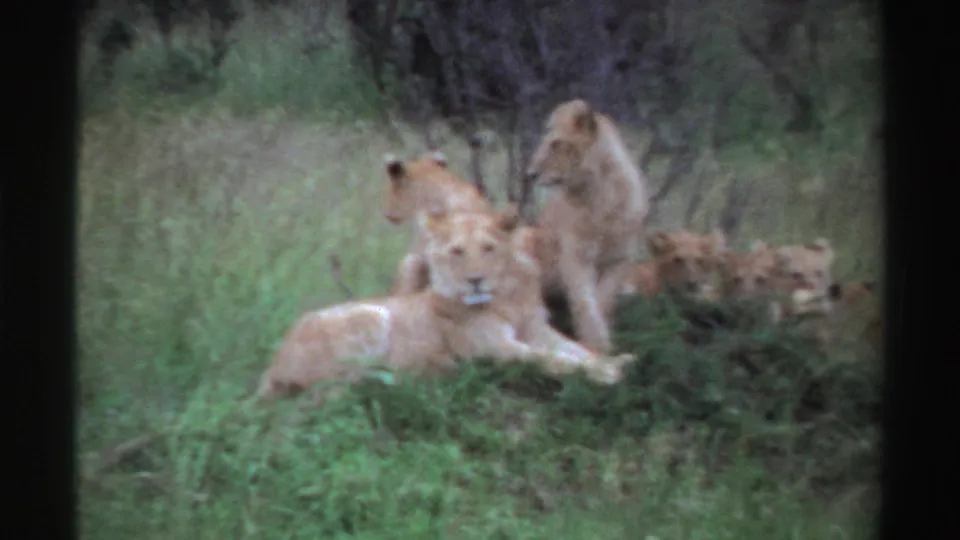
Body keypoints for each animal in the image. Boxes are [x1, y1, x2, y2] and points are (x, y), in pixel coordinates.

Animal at [257, 206, 634, 401]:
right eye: (457, 252)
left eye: (488, 248)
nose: (475, 279)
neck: (507, 296)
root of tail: (272, 365)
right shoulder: (493, 347)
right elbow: (550, 359)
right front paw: (608, 373)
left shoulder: (536, 328)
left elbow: (577, 349)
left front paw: (614, 360)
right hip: (371, 317)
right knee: (346, 381)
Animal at [525, 99, 650, 354]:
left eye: (556, 144)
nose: (530, 174)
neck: (598, 197)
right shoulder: (575, 255)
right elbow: (585, 302)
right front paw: (595, 344)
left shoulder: (620, 259)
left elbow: (604, 299)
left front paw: (603, 340)